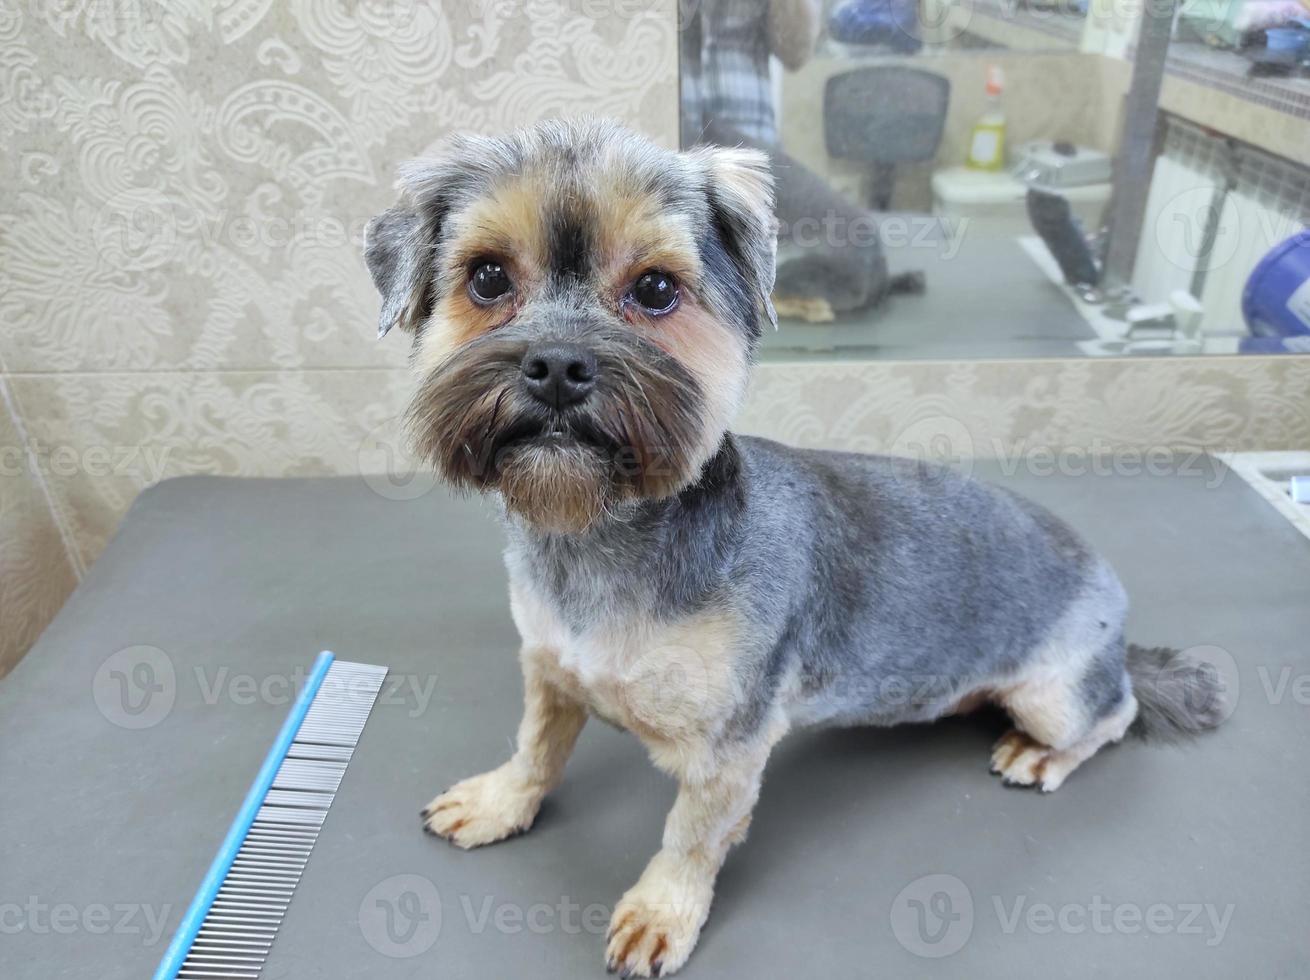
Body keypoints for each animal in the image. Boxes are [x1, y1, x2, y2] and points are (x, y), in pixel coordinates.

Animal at [361, 118, 1226, 974]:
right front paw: (502, 799)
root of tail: (1112, 598)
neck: (602, 539)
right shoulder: (549, 668)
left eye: (655, 289)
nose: (558, 365)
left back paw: (1046, 751)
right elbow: (536, 748)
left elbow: (691, 835)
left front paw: (662, 910)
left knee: (1113, 713)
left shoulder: (730, 747)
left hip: (1055, 693)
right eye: (487, 278)